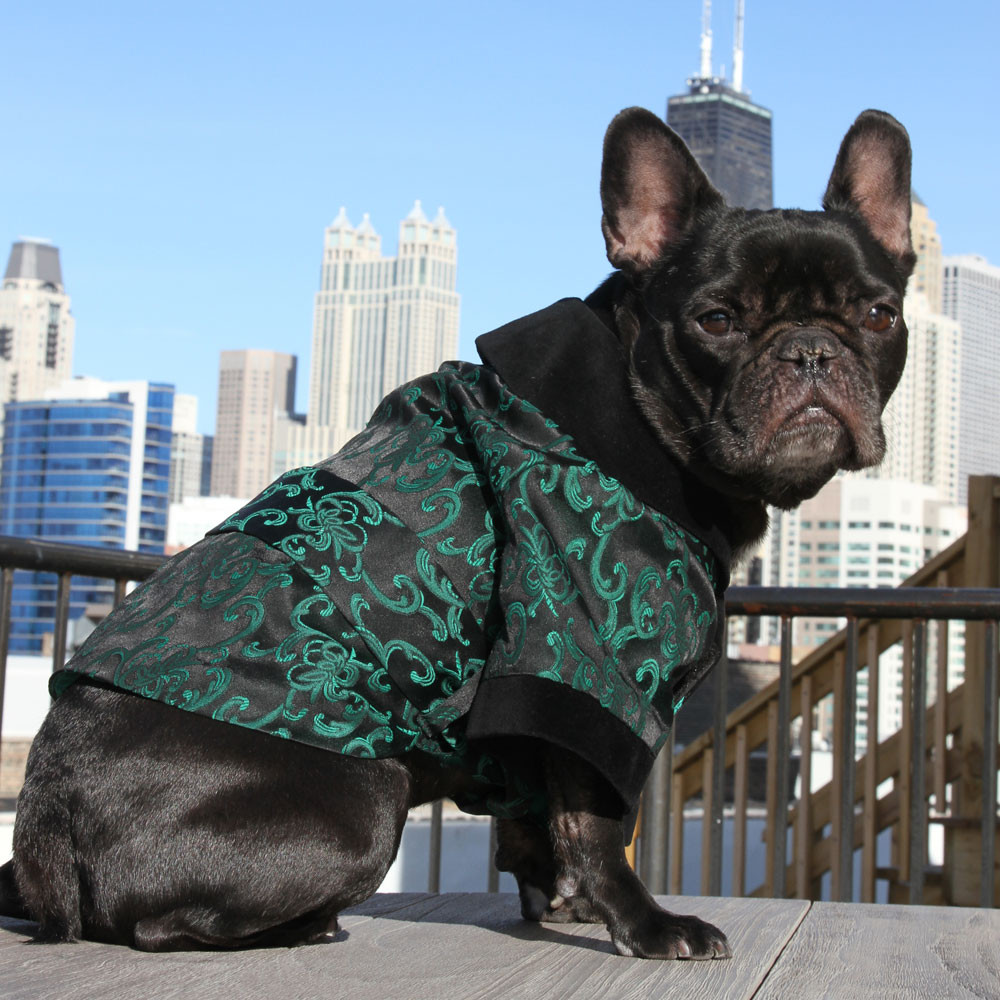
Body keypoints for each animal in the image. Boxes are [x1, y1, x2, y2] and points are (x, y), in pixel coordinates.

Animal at [0, 105, 912, 956]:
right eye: (717, 321)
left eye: (877, 315)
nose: (810, 352)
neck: (646, 428)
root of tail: (43, 831)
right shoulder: (583, 657)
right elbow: (598, 823)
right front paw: (645, 925)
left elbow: (536, 821)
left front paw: (561, 903)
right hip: (368, 796)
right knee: (161, 925)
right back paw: (307, 927)